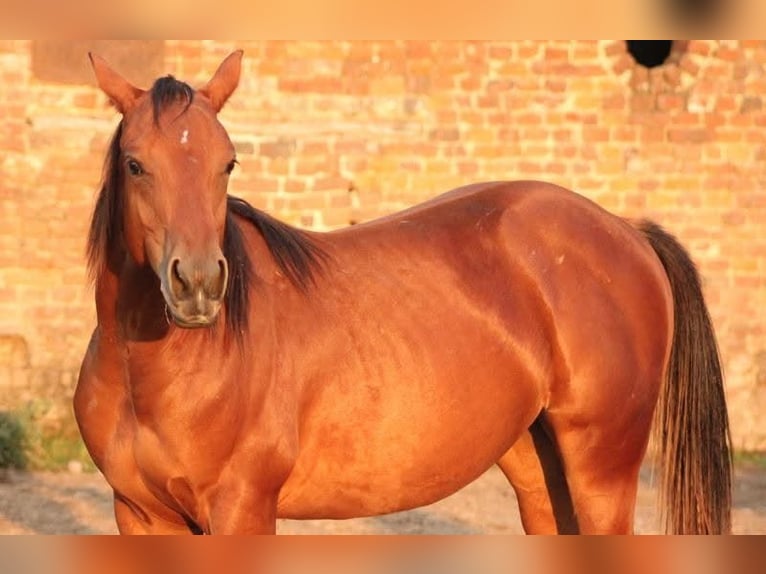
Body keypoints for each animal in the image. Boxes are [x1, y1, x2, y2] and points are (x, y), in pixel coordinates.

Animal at [75, 50, 732, 535]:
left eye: (228, 163)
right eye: (135, 165)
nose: (199, 284)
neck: (160, 372)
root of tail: (628, 232)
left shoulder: (241, 511)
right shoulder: (140, 516)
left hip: (604, 474)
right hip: (537, 468)